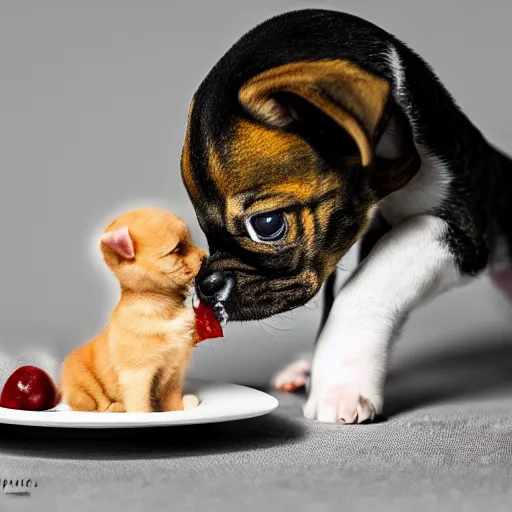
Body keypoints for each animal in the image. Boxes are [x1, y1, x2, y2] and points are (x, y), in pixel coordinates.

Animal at [63, 207, 207, 412]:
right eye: (178, 248)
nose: (206, 256)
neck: (162, 304)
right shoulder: (137, 375)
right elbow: (140, 406)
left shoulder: (173, 370)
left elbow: (172, 401)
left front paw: (177, 411)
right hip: (83, 387)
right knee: (98, 405)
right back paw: (116, 407)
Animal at [179, 9, 512, 424]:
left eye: (267, 226)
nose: (205, 287)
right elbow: (337, 302)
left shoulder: (459, 233)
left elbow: (368, 283)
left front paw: (340, 386)